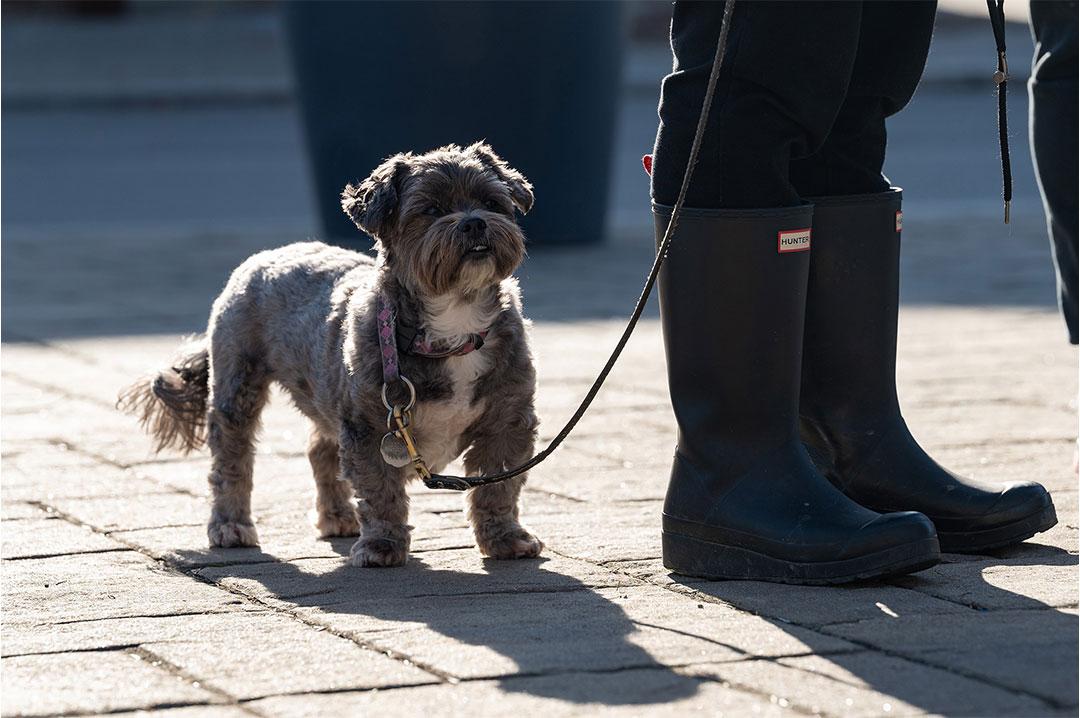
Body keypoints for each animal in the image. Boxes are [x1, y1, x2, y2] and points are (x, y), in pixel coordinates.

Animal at [121, 141, 544, 565]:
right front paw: (382, 544)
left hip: (328, 393)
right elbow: (381, 491)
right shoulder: (370, 427)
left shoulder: (507, 422)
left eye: (491, 202)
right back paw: (230, 525)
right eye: (431, 210)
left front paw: (505, 538)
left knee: (320, 451)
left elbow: (498, 487)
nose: (474, 223)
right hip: (238, 384)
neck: (455, 322)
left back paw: (337, 516)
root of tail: (267, 255)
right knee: (231, 457)